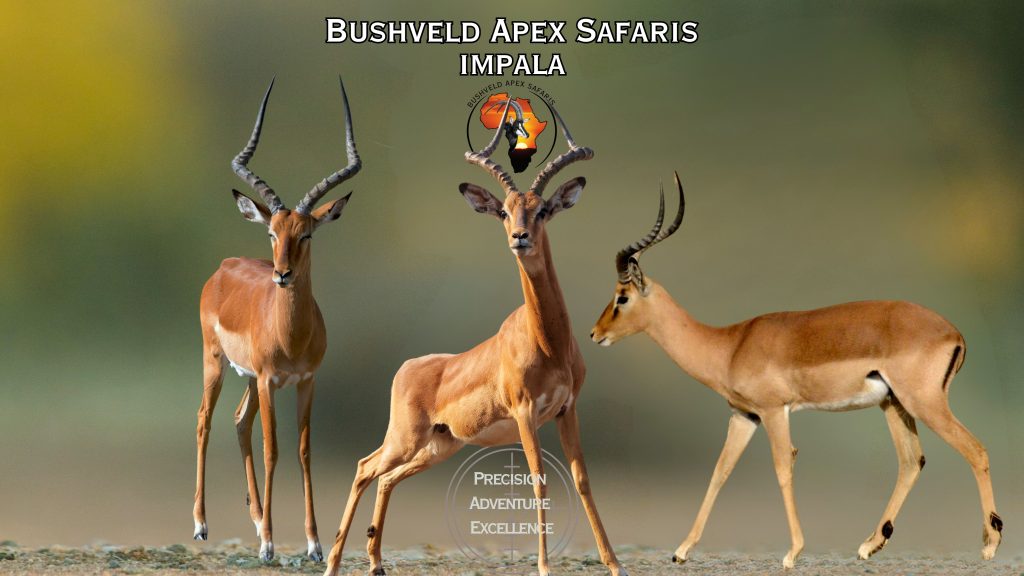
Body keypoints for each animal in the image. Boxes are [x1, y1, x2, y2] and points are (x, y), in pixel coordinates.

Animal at [193, 77, 361, 563]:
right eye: (272, 232)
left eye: (306, 234)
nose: (282, 274)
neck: (293, 335)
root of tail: (224, 266)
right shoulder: (271, 380)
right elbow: (273, 450)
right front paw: (269, 545)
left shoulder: (307, 381)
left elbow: (304, 452)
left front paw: (315, 545)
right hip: (217, 364)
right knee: (205, 420)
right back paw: (203, 525)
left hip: (248, 378)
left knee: (238, 422)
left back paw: (253, 519)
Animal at [323, 101, 628, 576]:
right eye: (504, 211)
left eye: (543, 209)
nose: (519, 237)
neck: (549, 343)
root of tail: (408, 367)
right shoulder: (525, 413)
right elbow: (539, 480)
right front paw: (544, 566)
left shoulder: (567, 409)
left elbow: (581, 480)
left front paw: (613, 564)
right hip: (407, 439)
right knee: (364, 467)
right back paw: (333, 562)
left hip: (438, 446)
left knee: (385, 477)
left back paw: (374, 562)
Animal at [590, 174, 1002, 568]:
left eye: (621, 297)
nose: (595, 334)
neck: (730, 345)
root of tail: (954, 332)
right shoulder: (744, 416)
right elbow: (720, 471)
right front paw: (681, 551)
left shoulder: (774, 411)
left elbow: (783, 467)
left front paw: (792, 553)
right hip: (895, 405)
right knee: (911, 461)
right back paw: (870, 545)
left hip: (924, 404)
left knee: (976, 450)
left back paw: (989, 545)